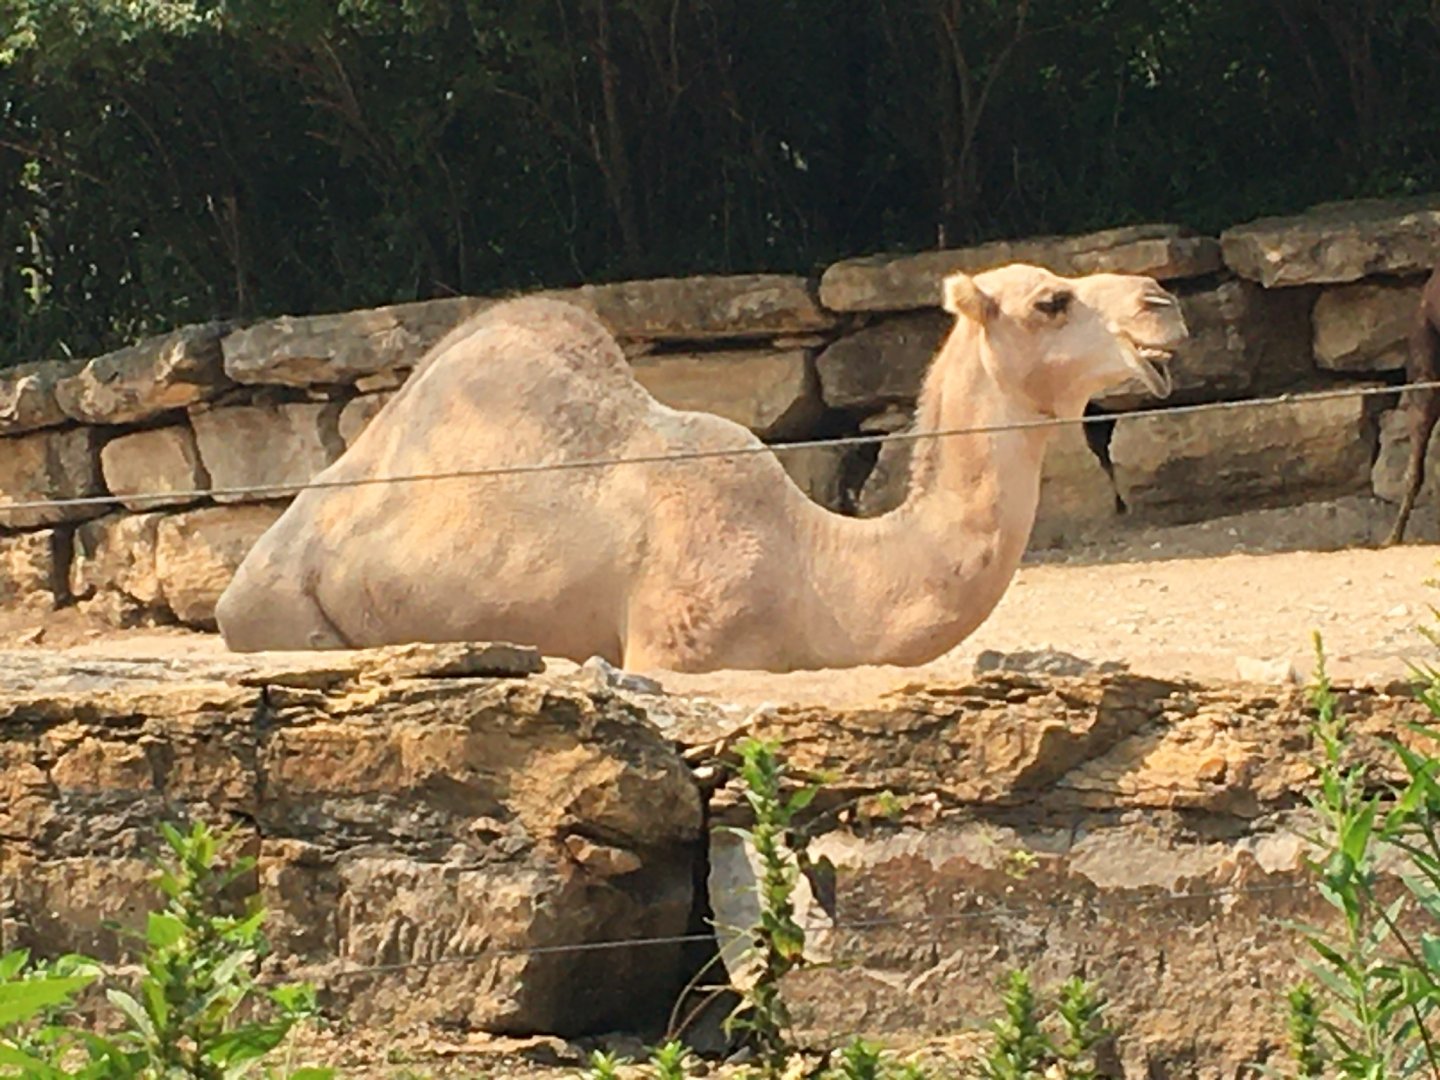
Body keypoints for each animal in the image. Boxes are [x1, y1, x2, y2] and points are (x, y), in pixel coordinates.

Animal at [215, 263, 1188, 672]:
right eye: (1051, 300)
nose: (1164, 302)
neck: (819, 569)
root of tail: (239, 580)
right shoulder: (674, 647)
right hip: (285, 613)